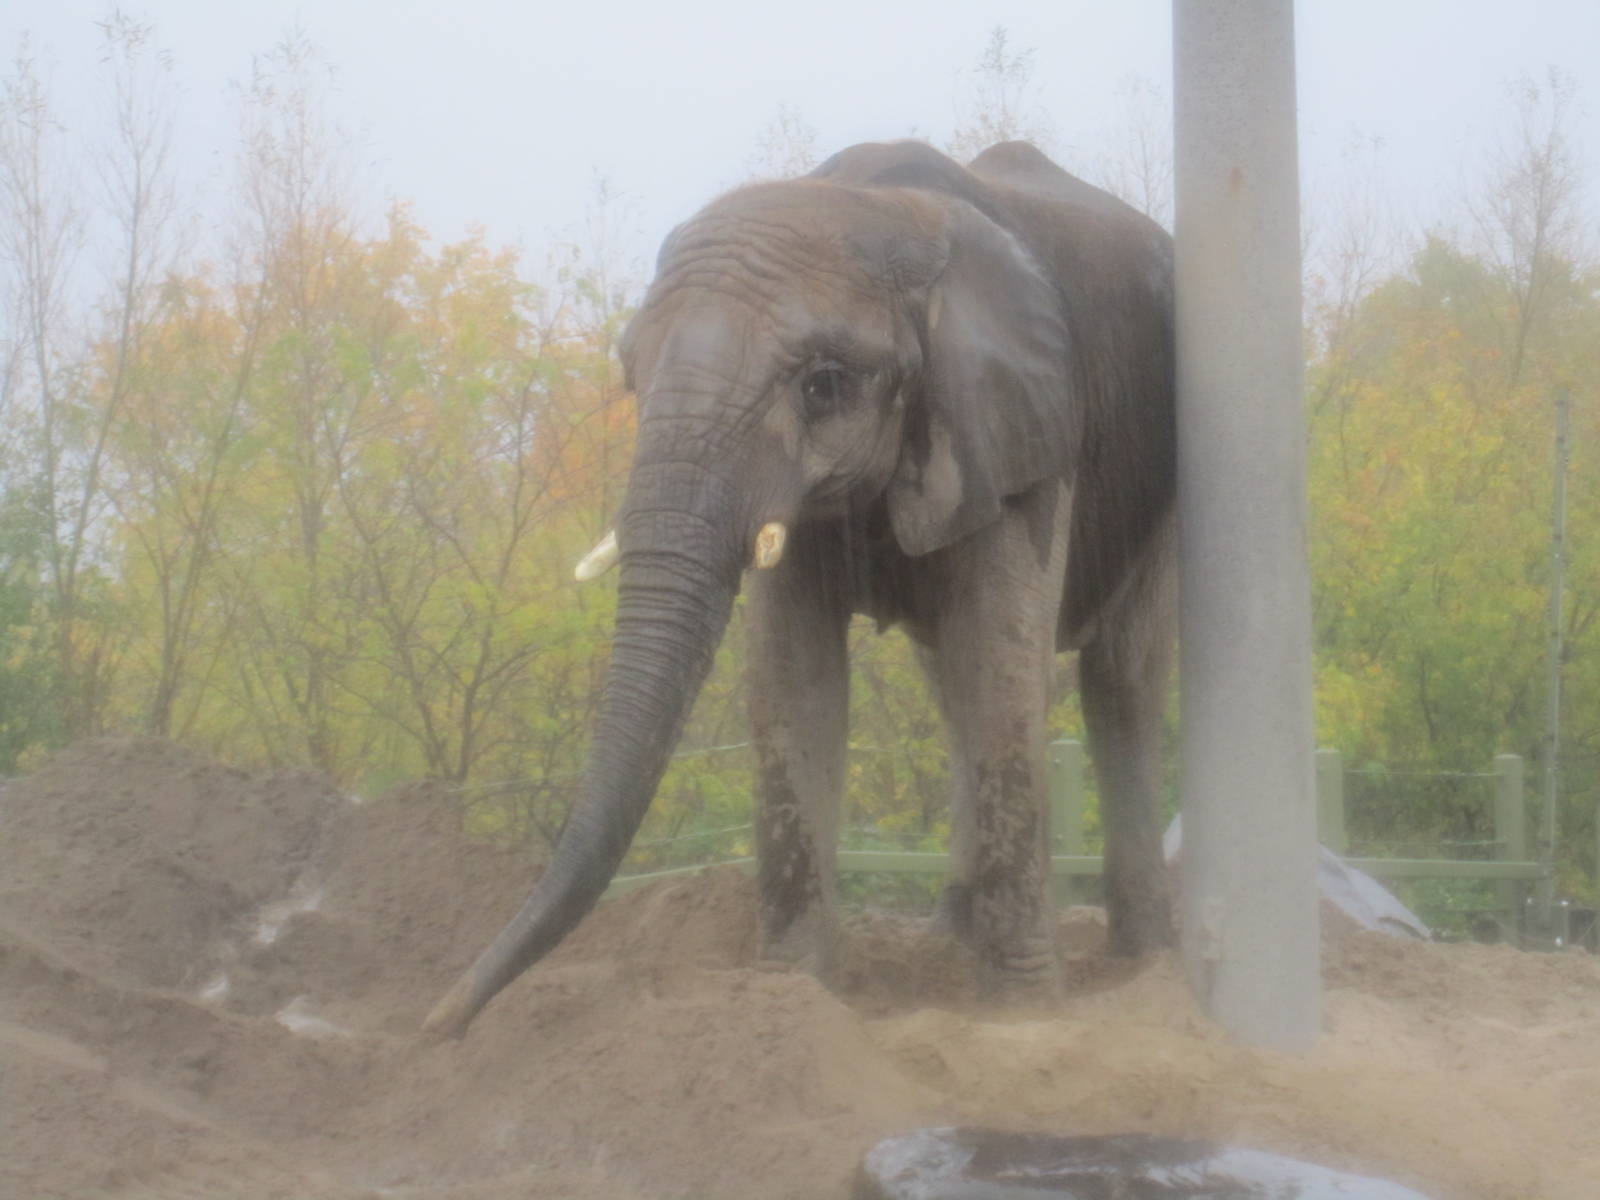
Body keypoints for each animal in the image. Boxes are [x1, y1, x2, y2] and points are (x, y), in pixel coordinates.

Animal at [424, 139, 1175, 1038]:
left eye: (824, 384)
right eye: (632, 378)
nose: (440, 1022)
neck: (884, 208)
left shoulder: (1022, 426)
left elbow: (1000, 668)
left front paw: (1021, 1013)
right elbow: (794, 682)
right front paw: (789, 990)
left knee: (1118, 678)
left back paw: (1144, 958)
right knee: (952, 683)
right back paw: (948, 937)